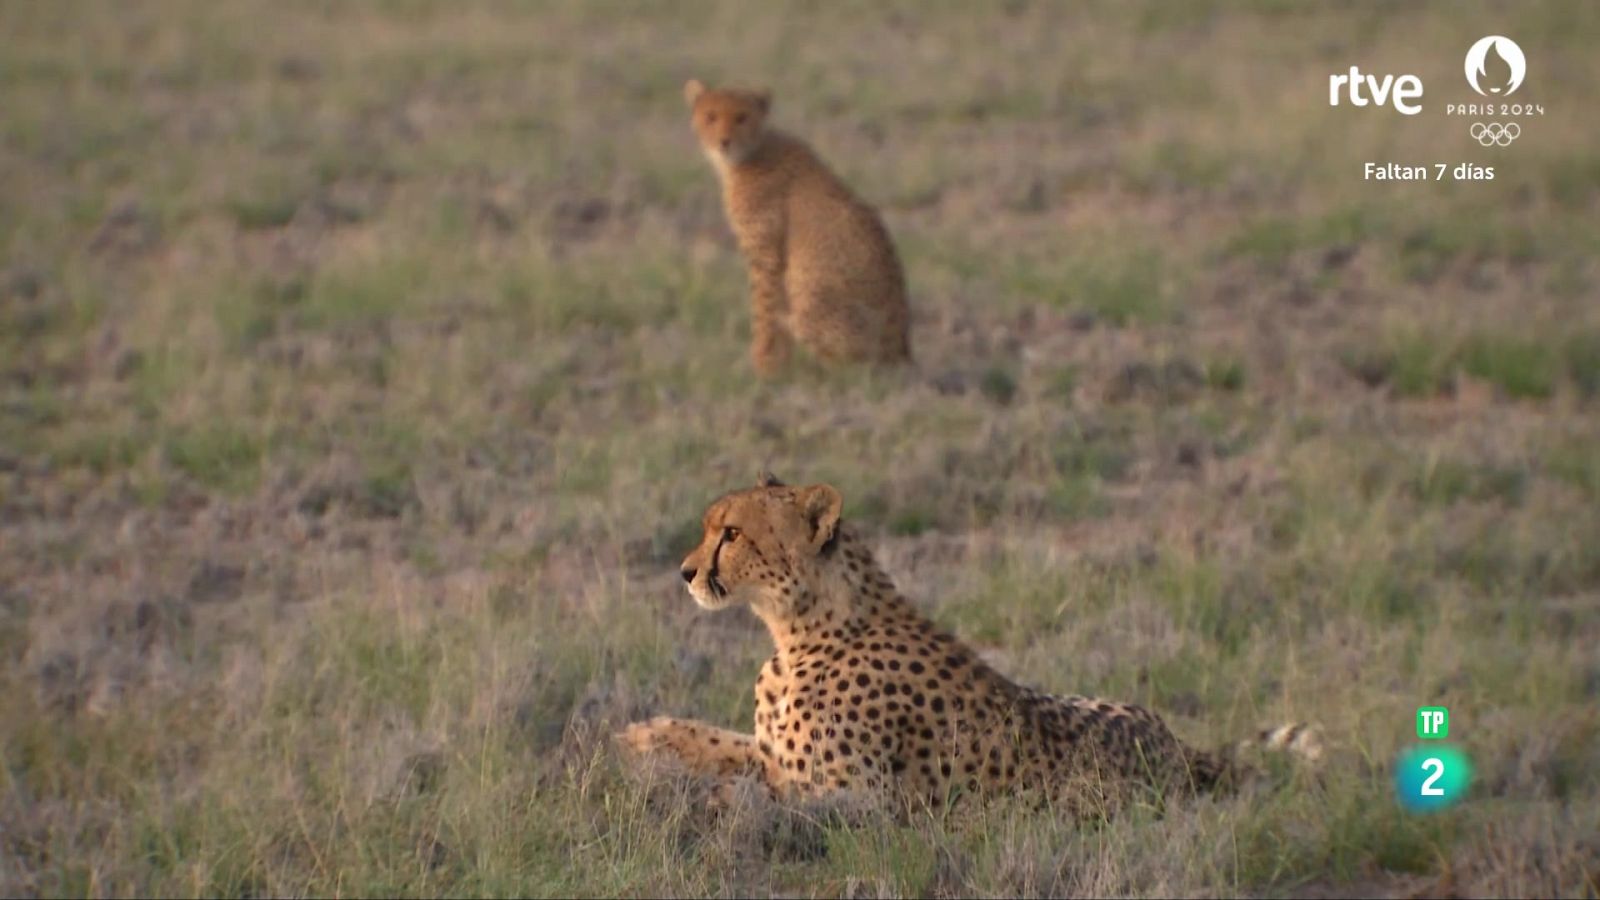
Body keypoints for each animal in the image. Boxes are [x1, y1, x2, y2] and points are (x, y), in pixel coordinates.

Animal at [617, 474, 1318, 810]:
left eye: (731, 534)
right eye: (713, 528)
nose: (685, 572)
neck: (799, 628)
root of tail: (1174, 742)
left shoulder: (856, 798)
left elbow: (755, 783)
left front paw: (691, 791)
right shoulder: (778, 753)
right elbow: (730, 743)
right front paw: (648, 735)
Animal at [681, 79, 915, 374]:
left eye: (742, 117)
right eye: (710, 116)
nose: (725, 141)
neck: (754, 150)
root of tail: (900, 355)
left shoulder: (765, 256)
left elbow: (764, 309)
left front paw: (763, 364)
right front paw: (774, 361)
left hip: (809, 297)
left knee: (845, 367)